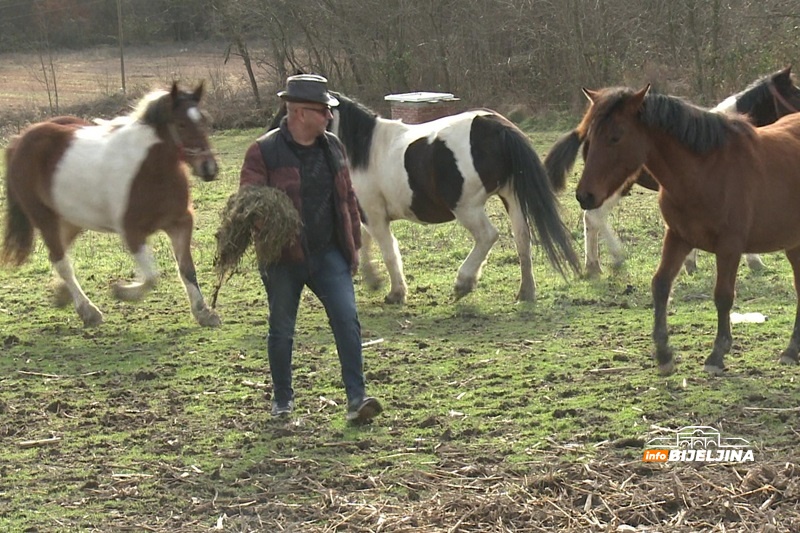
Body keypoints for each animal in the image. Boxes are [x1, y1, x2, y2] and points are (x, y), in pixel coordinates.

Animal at [1, 81, 220, 326]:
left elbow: (187, 269)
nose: (209, 168)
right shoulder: (132, 232)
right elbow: (152, 277)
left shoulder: (180, 223)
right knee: (61, 262)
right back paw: (88, 311)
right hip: (44, 218)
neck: (152, 169)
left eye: (204, 121)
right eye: (181, 124)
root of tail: (18, 141)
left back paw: (63, 295)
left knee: (61, 255)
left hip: (72, 219)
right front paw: (121, 291)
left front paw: (204, 312)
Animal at [278, 92, 580, 304]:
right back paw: (525, 292)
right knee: (522, 239)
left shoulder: (375, 216)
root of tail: (495, 125)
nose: (279, 136)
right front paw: (373, 280)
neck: (364, 150)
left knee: (488, 236)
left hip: (467, 208)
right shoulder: (364, 213)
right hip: (511, 198)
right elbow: (362, 241)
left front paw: (396, 292)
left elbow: (389, 251)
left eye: (287, 110)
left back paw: (463, 282)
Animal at [552, 66, 800, 276]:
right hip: (615, 185)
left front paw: (691, 263)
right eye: (795, 94)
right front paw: (754, 262)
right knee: (593, 217)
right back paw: (607, 260)